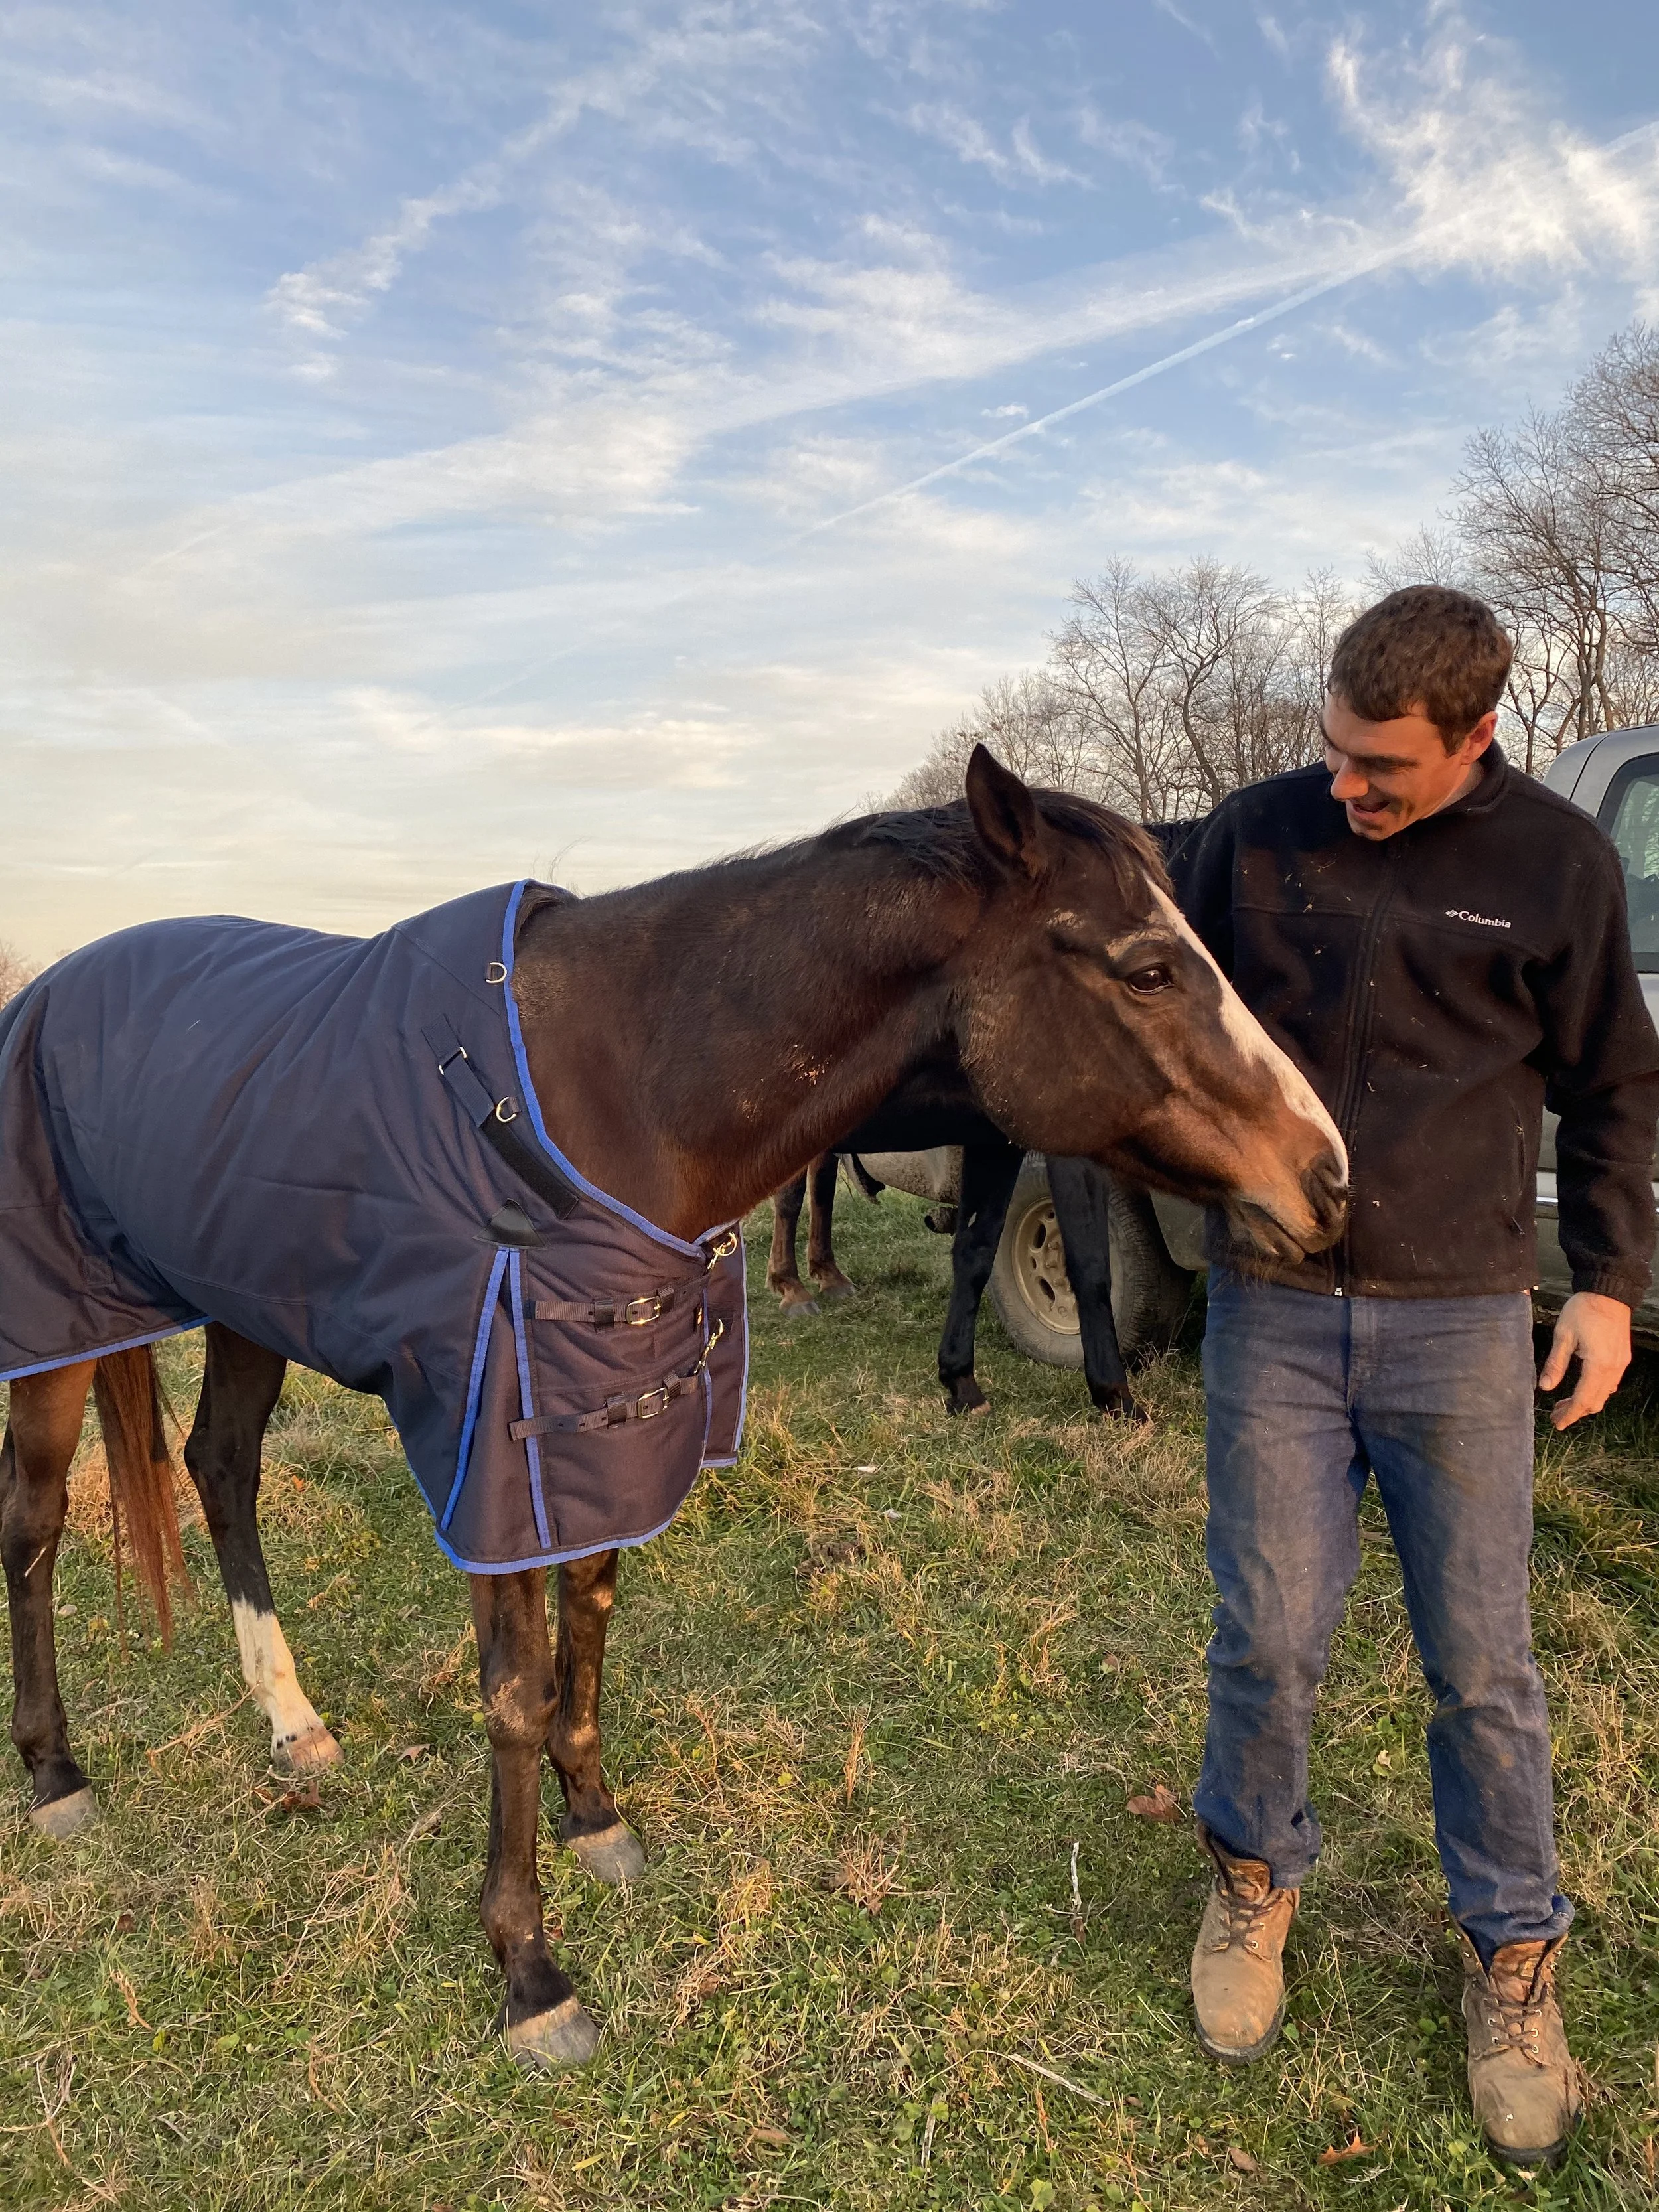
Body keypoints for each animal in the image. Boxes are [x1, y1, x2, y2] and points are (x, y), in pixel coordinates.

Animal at [2, 748, 1347, 2072]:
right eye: (1150, 968)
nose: (1329, 1176)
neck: (602, 1094)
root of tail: (46, 991)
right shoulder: (496, 1444)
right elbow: (514, 1688)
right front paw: (529, 1968)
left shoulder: (605, 1418)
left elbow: (590, 1618)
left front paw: (596, 1817)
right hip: (57, 1338)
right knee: (36, 1523)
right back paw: (59, 1773)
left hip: (247, 1307)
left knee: (220, 1467)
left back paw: (292, 1723)